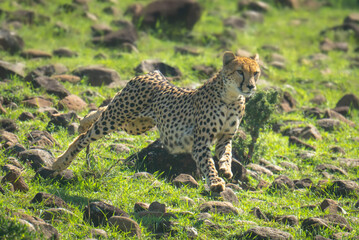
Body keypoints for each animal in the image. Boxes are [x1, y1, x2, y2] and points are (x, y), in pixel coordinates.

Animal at [50, 51, 260, 192]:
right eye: (240, 71)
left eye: (256, 73)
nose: (251, 86)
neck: (232, 98)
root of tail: (154, 74)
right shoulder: (201, 141)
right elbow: (207, 162)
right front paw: (215, 181)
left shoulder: (225, 137)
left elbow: (227, 153)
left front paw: (225, 169)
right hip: (119, 116)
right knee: (87, 136)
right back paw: (61, 162)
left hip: (136, 124)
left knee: (102, 112)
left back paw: (84, 122)